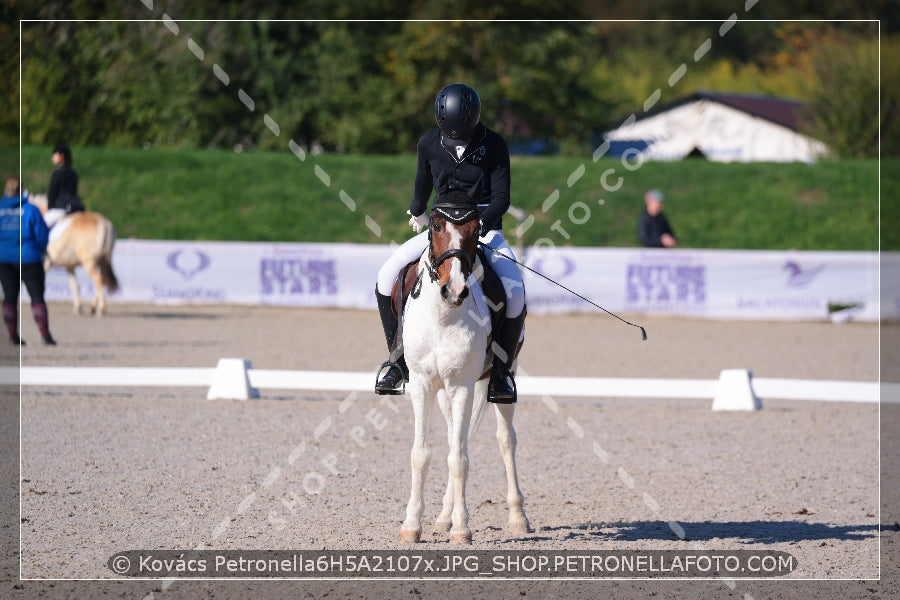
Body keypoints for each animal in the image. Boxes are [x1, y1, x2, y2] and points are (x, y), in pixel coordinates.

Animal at [398, 193, 532, 544]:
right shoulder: (422, 385)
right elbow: (422, 454)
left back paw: (518, 518)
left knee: (505, 439)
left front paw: (462, 530)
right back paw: (443, 517)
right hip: (445, 392)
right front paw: (412, 526)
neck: (442, 316)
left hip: (501, 378)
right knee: (453, 438)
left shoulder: (462, 387)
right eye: (434, 226)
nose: (454, 290)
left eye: (476, 229)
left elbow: (459, 460)